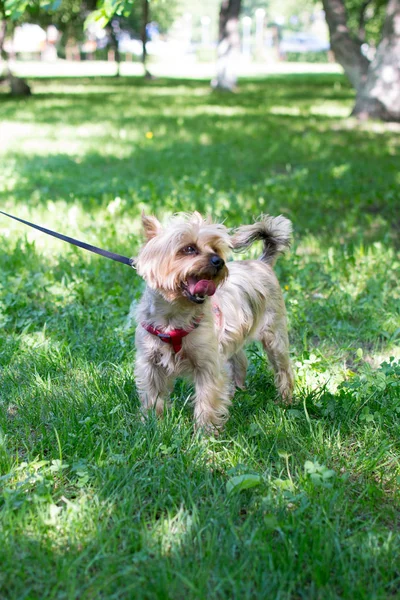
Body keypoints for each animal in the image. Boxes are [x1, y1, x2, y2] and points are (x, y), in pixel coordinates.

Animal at [134, 213, 294, 428]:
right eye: (189, 248)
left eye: (216, 249)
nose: (219, 261)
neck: (173, 317)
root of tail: (262, 263)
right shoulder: (150, 362)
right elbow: (153, 395)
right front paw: (152, 423)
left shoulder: (207, 363)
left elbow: (207, 399)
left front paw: (205, 431)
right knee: (239, 360)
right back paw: (237, 390)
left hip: (274, 335)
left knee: (283, 368)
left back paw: (285, 400)